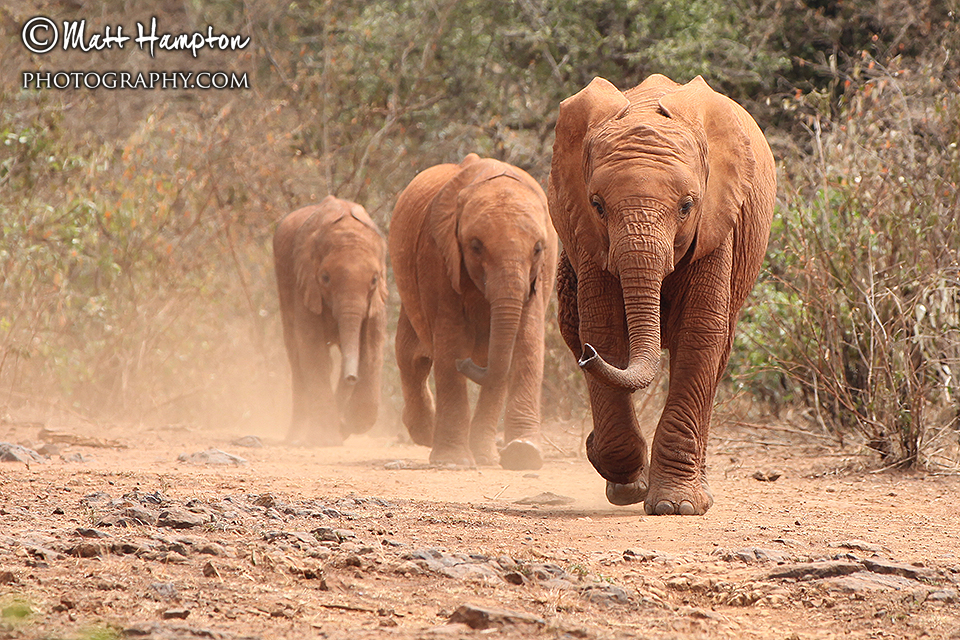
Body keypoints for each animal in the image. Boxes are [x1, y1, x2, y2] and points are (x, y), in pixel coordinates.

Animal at [273, 195, 388, 446]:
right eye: (325, 278)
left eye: (374, 280)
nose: (352, 377)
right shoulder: (304, 283)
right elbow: (313, 349)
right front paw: (327, 439)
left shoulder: (376, 302)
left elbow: (372, 349)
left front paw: (344, 426)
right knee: (296, 355)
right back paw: (295, 437)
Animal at [389, 153, 559, 470]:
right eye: (476, 246)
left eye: (538, 248)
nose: (468, 363)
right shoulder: (437, 256)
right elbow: (450, 343)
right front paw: (452, 462)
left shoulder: (539, 277)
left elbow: (527, 344)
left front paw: (524, 455)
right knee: (411, 358)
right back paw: (426, 433)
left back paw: (486, 455)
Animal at [548, 75, 776, 515]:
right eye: (597, 205)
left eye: (687, 206)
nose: (587, 357)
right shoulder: (589, 239)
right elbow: (602, 329)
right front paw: (626, 486)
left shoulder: (717, 224)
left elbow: (700, 334)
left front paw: (677, 507)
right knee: (572, 325)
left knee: (719, 353)